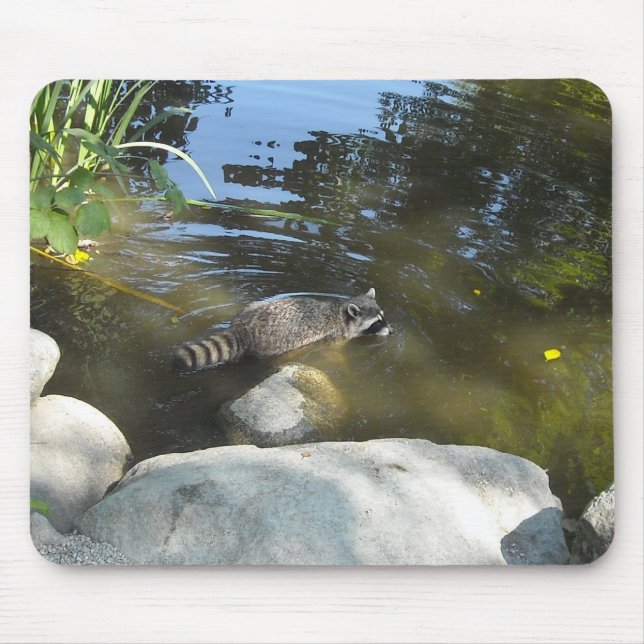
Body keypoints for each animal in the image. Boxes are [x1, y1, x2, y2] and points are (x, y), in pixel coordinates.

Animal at [174, 287, 391, 371]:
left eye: (383, 317)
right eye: (377, 322)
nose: (392, 331)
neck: (343, 313)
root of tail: (243, 326)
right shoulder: (335, 337)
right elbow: (334, 354)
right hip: (274, 343)